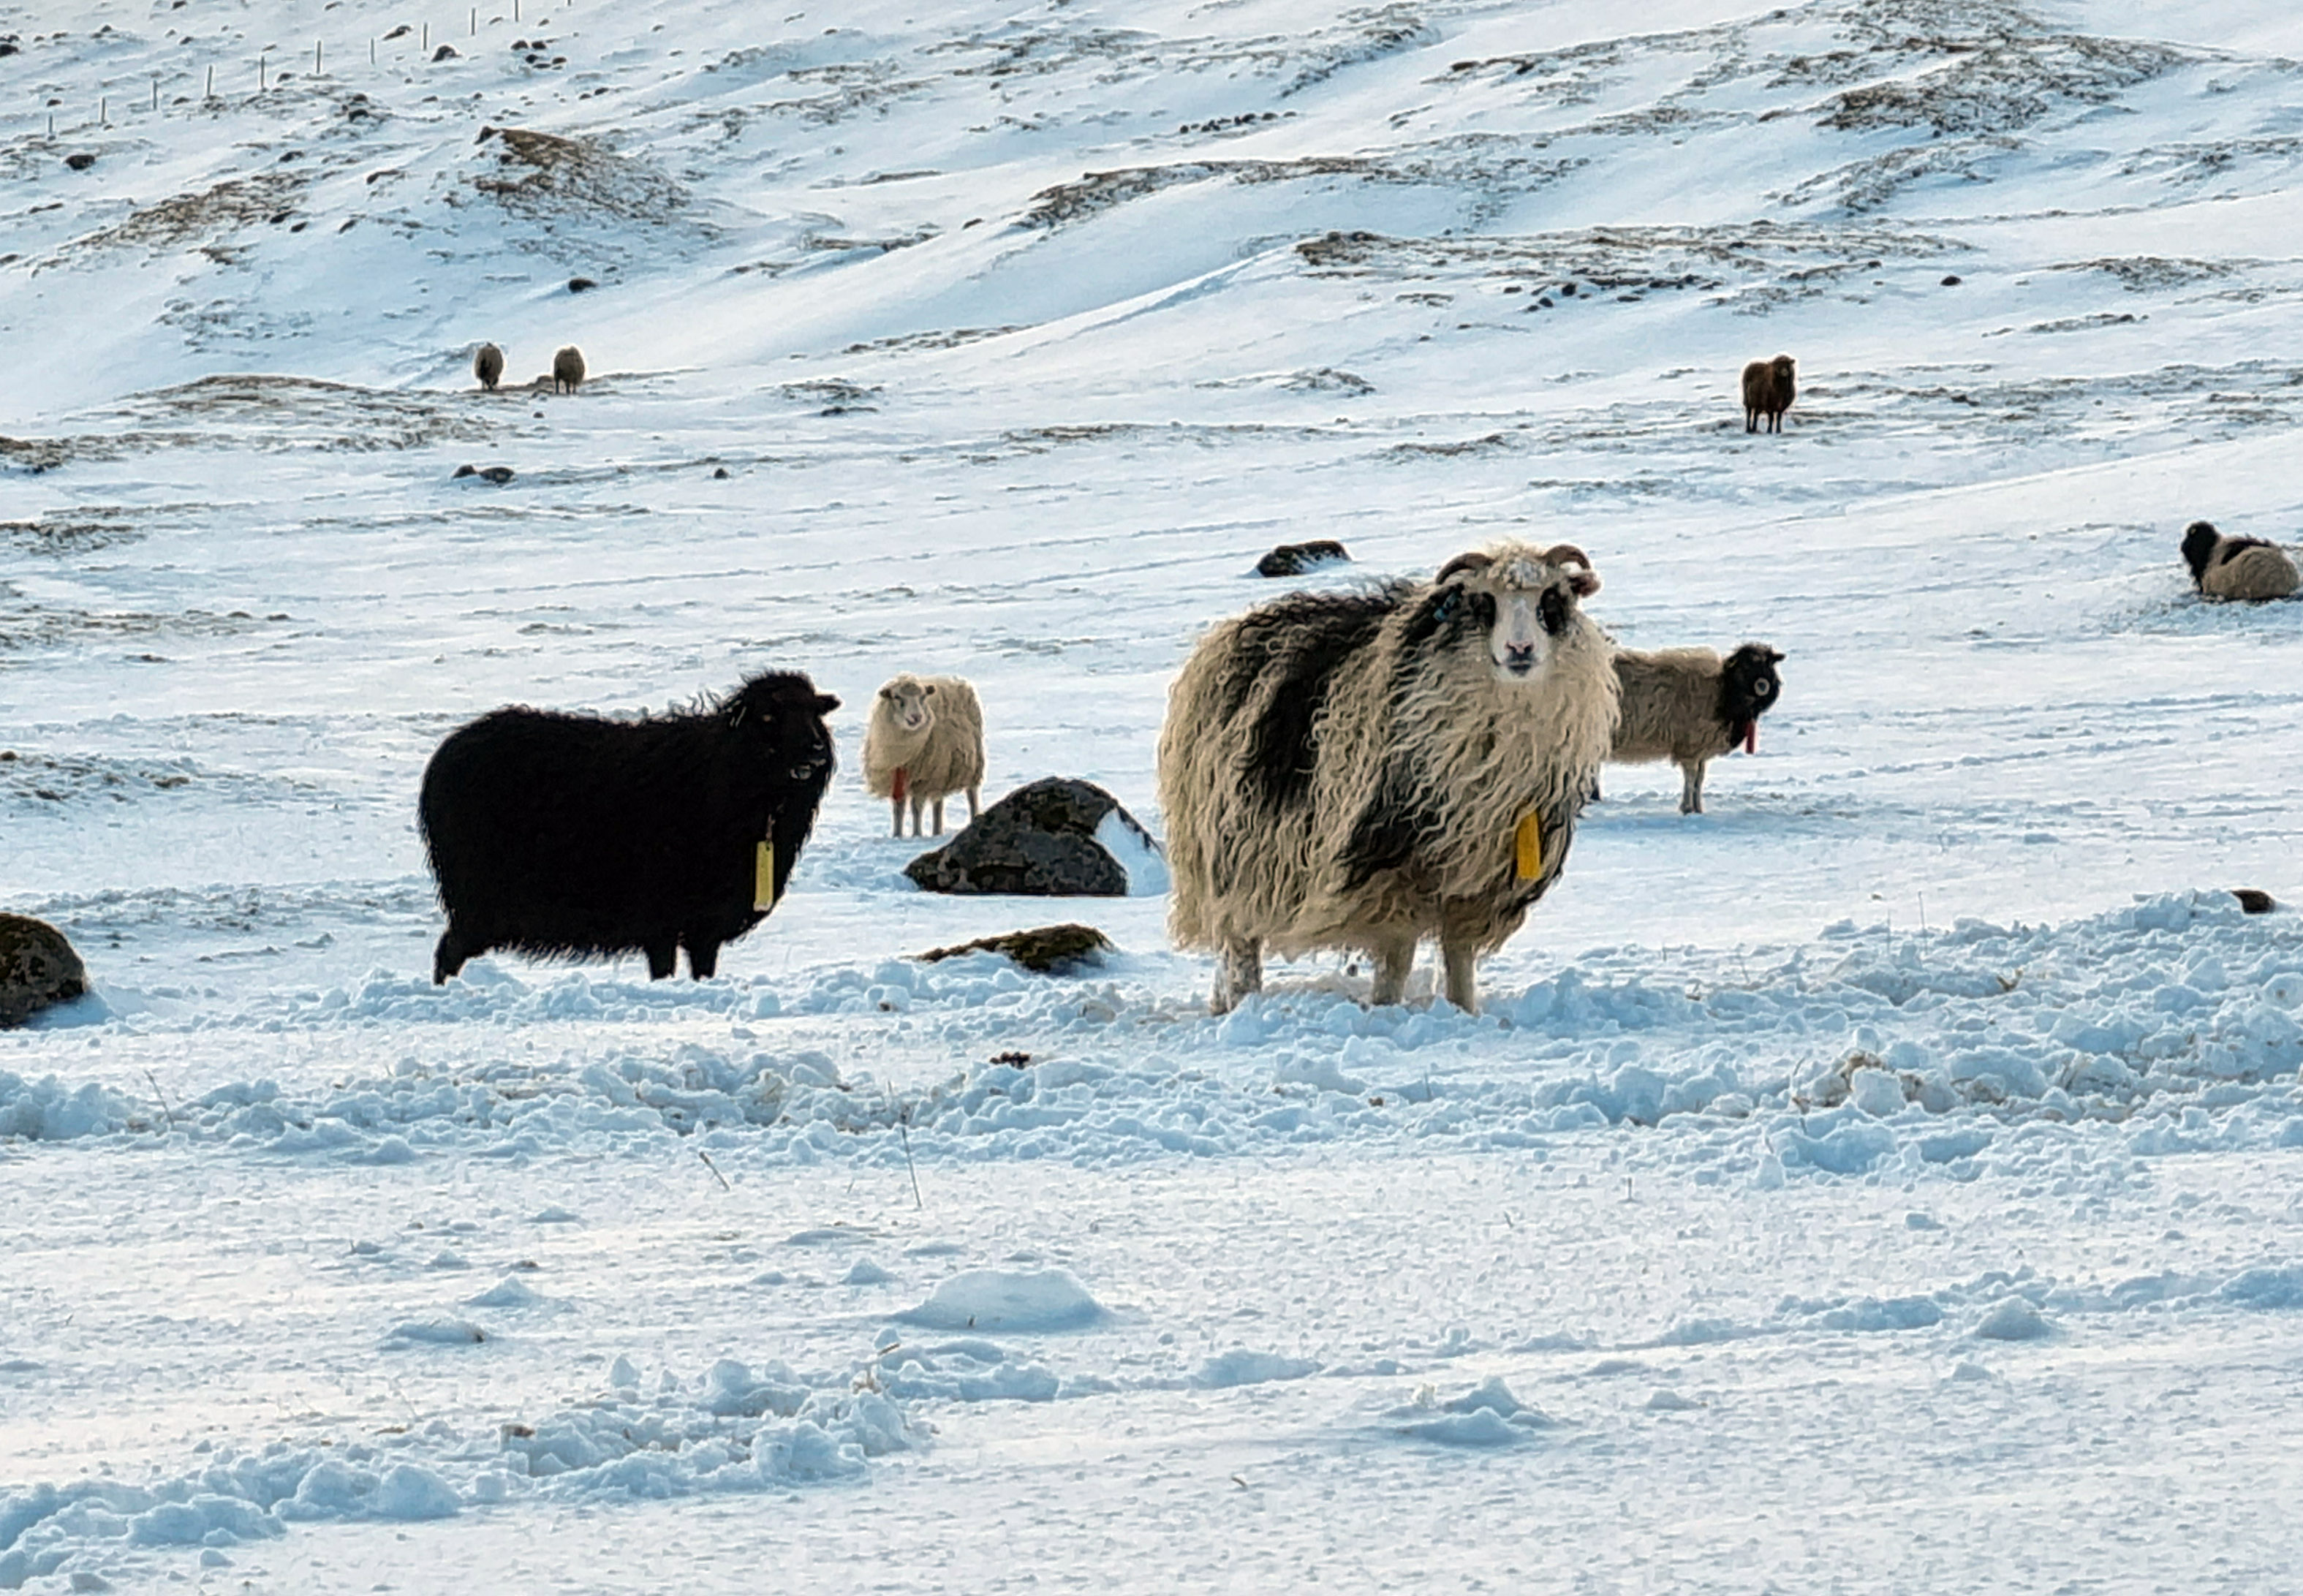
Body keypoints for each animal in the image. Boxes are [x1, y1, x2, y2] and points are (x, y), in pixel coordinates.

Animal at [419, 670, 839, 984]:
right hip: (478, 898)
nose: (815, 750)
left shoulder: (704, 925)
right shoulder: (661, 917)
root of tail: (445, 754)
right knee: (447, 953)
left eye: (814, 713)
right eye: (769, 716)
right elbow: (664, 970)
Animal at [863, 673, 986, 837]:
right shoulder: (896, 774)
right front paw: (897, 835)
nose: (916, 717)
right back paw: (936, 831)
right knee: (938, 803)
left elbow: (916, 807)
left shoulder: (923, 777)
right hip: (942, 771)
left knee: (971, 795)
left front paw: (917, 834)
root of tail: (955, 681)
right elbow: (898, 807)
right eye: (897, 697)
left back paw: (970, 820)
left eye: (923, 697)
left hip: (967, 763)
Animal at [1159, 541, 1617, 1016]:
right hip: (1234, 853)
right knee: (1239, 949)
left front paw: (1464, 1012)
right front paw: (1384, 1009)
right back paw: (1240, 1004)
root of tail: (1229, 632)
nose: (1520, 648)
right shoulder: (1390, 876)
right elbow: (1396, 961)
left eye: (1553, 599)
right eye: (1482, 603)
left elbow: (1459, 958)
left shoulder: (1477, 884)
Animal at [1604, 643, 1785, 815]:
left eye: (1769, 664)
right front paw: (1687, 807)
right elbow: (1691, 777)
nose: (1762, 686)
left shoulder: (1701, 748)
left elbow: (1700, 778)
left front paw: (1698, 808)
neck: (1724, 691)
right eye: (1745, 666)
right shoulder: (1690, 744)